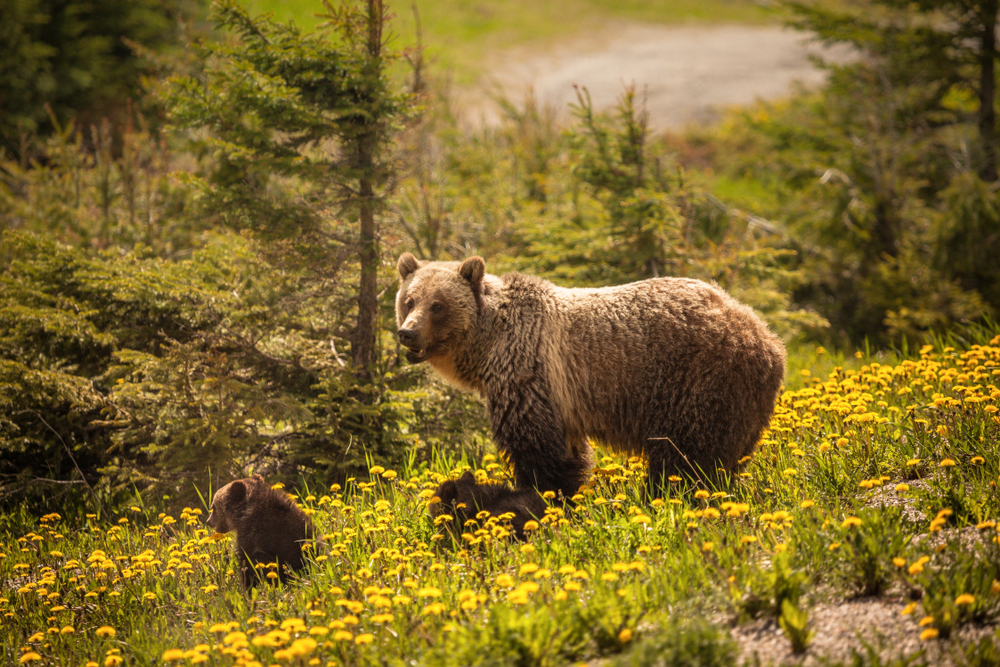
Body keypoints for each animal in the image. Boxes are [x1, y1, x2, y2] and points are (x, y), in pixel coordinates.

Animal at [394, 253, 784, 498]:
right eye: (409, 300)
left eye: (438, 305)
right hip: (742, 402)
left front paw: (542, 495)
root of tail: (765, 336)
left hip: (697, 380)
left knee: (686, 455)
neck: (489, 344)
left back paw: (667, 496)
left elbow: (537, 449)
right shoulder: (558, 398)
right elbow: (568, 453)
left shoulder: (529, 374)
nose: (407, 333)